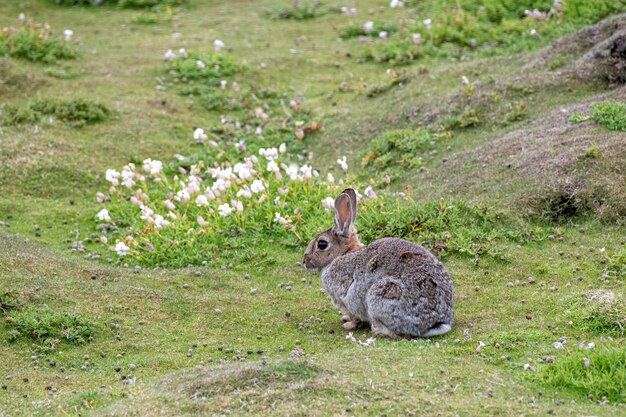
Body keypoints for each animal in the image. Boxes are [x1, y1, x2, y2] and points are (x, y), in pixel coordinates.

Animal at [304, 188, 454, 338]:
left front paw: (349, 324)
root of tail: (435, 322)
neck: (343, 254)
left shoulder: (347, 298)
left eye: (322, 244)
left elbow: (354, 316)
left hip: (381, 297)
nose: (304, 260)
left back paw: (377, 330)